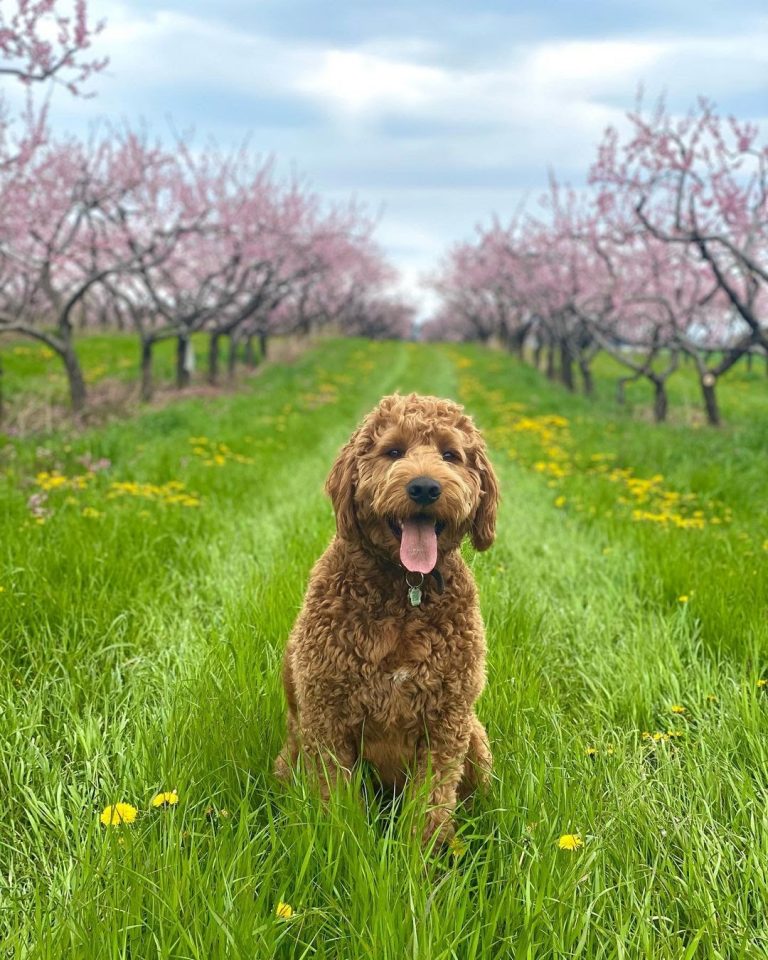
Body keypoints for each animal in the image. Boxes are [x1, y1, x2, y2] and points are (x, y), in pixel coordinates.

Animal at [274, 394, 498, 844]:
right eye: (393, 451)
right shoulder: (327, 716)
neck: (404, 588)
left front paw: (425, 854)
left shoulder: (447, 722)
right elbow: (336, 796)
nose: (425, 487)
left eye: (451, 454)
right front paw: (343, 842)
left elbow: (432, 801)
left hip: (476, 739)